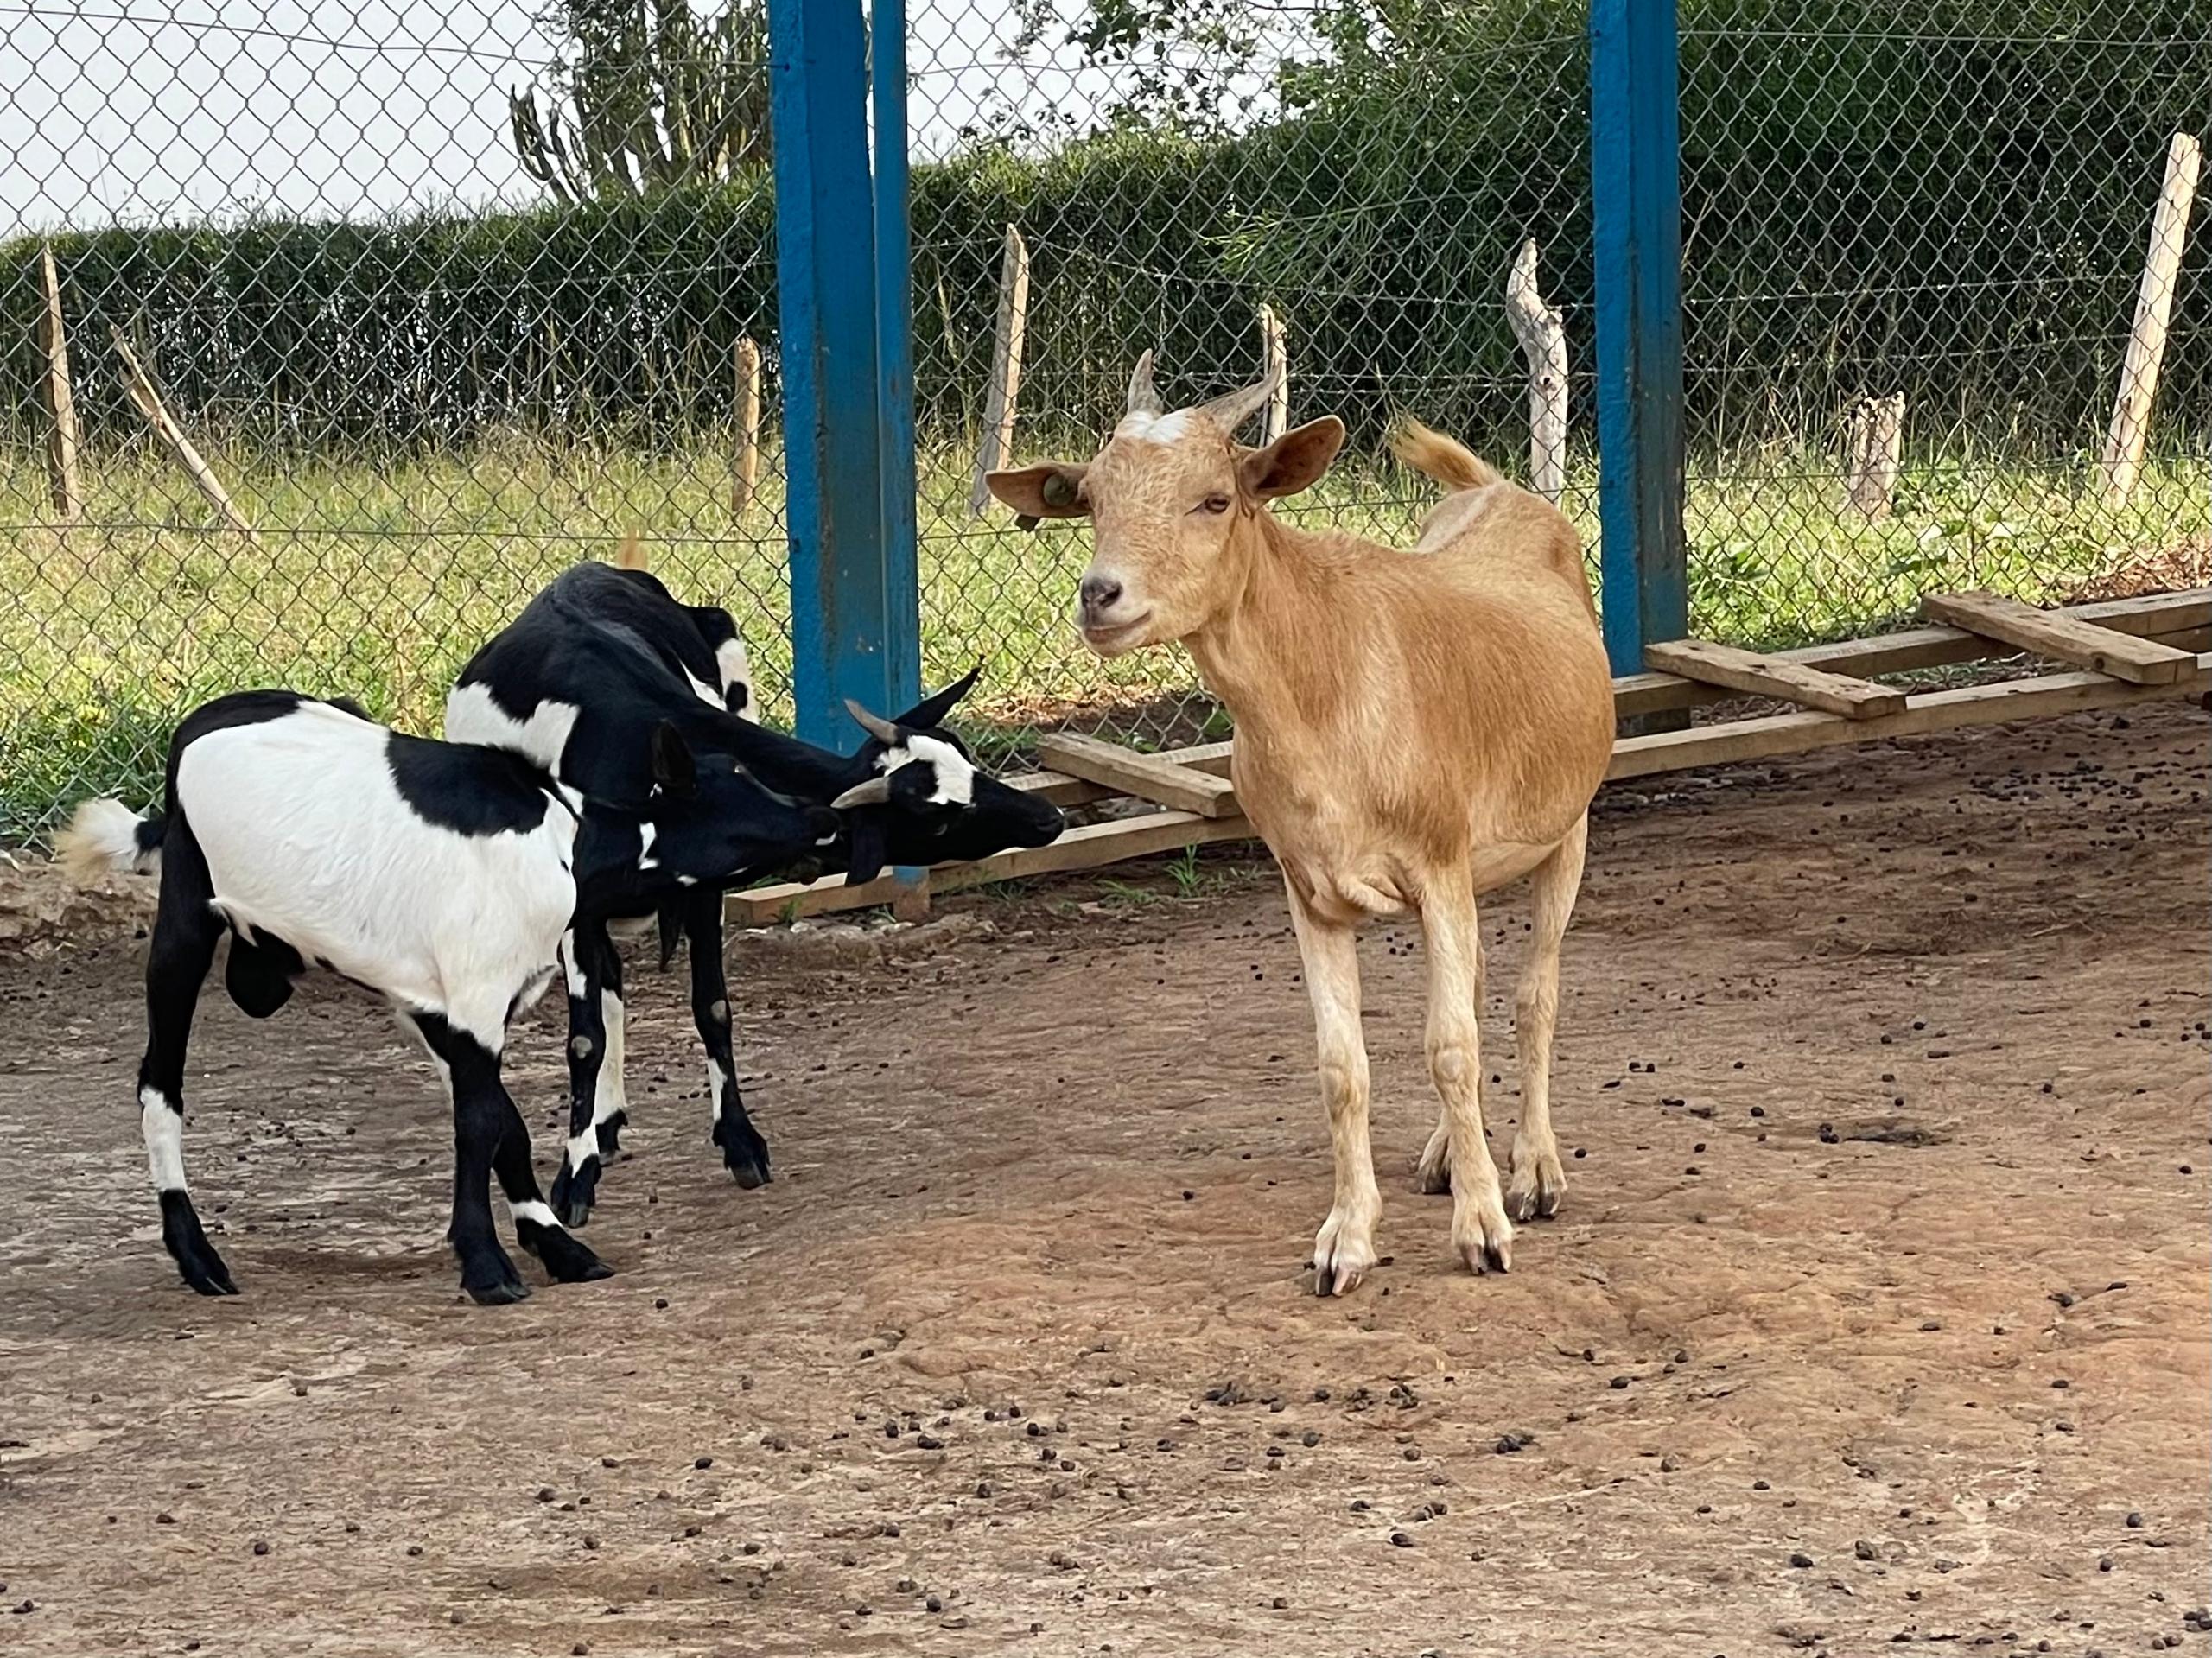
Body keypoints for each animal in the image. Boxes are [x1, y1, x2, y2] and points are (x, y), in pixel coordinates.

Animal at [56, 690, 840, 1304]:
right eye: (741, 784)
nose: (822, 815)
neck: (566, 840)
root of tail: (197, 726)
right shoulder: (475, 996)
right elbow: (480, 1123)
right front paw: (488, 1266)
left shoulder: (443, 1005)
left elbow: (502, 1122)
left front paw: (556, 1244)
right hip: (184, 922)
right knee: (159, 1083)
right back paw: (198, 1257)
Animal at [446, 553, 1064, 1223]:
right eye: (940, 817)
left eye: (970, 763)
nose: (1049, 818)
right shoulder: (579, 909)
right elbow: (585, 1038)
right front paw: (575, 1175)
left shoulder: (705, 889)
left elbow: (713, 1007)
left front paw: (741, 1141)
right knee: (606, 983)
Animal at [987, 355, 1614, 1294]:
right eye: (1092, 497)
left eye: (1216, 498)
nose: (1101, 597)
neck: (1329, 671)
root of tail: (1500, 489)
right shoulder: (1310, 886)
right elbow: (1341, 1066)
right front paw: (1345, 1241)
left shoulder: (1437, 859)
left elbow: (1452, 1045)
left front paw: (1484, 1230)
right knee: (1473, 988)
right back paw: (1444, 1153)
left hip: (1564, 827)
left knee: (1532, 994)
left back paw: (1534, 1170)